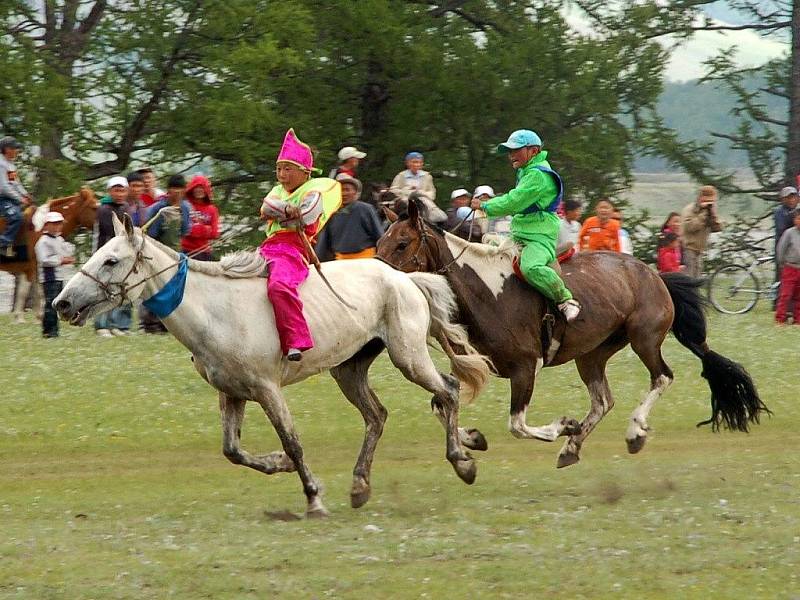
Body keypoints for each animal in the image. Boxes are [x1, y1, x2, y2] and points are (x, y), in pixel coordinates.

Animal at [0, 189, 97, 322]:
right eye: (94, 207)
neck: (40, 229)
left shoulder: (32, 269)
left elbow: (31, 292)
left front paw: (35, 317)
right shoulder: (32, 268)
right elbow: (29, 292)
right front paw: (23, 318)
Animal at [53, 214, 490, 516]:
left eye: (111, 260)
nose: (62, 303)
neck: (215, 310)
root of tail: (406, 279)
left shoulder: (267, 389)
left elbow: (293, 442)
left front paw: (313, 498)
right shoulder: (232, 393)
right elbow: (233, 450)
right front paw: (278, 464)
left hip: (407, 356)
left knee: (448, 390)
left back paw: (462, 460)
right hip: (348, 369)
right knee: (378, 415)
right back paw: (361, 484)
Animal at [376, 202, 768, 468]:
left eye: (402, 243)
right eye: (381, 242)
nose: (378, 277)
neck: (487, 293)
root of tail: (654, 275)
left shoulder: (525, 367)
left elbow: (517, 424)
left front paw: (562, 427)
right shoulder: (477, 365)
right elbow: (441, 404)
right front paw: (472, 438)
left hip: (644, 339)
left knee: (661, 377)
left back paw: (633, 432)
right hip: (591, 355)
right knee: (603, 401)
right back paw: (573, 448)